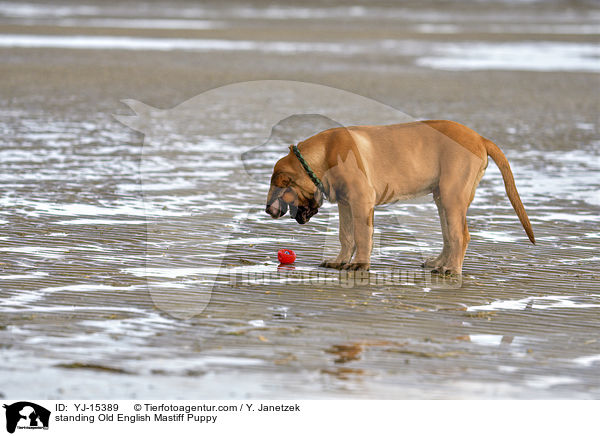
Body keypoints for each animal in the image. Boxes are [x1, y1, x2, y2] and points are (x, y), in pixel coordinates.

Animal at [264, 121, 536, 274]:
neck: (323, 157)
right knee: (449, 235)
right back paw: (439, 263)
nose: (267, 210)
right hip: (443, 199)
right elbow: (346, 235)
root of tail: (480, 138)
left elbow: (362, 236)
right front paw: (340, 261)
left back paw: (451, 269)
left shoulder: (361, 200)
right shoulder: (345, 204)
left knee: (461, 235)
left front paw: (360, 264)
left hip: (453, 196)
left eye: (280, 187)